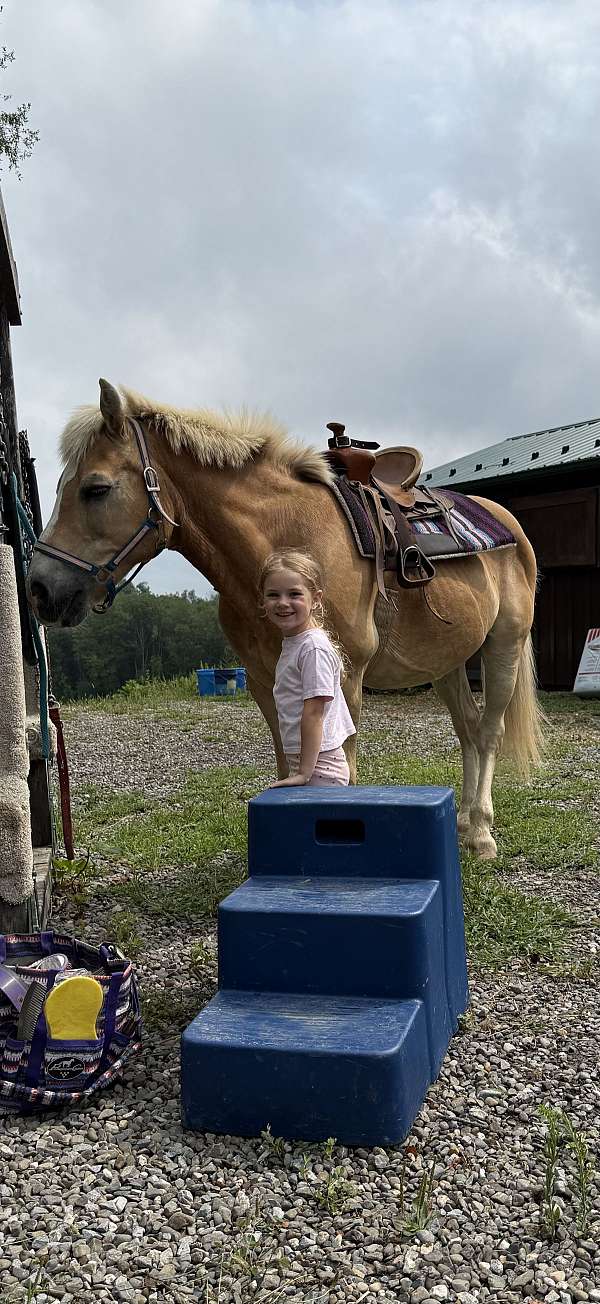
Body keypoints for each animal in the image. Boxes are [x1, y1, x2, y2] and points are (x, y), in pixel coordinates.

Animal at [26, 378, 543, 859]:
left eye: (96, 489)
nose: (38, 588)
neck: (283, 544)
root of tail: (509, 525)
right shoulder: (263, 681)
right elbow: (288, 765)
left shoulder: (343, 681)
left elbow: (342, 771)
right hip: (446, 663)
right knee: (468, 730)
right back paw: (463, 823)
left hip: (504, 645)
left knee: (489, 732)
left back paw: (481, 833)